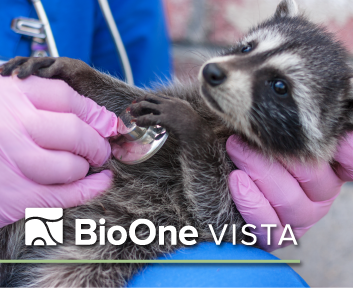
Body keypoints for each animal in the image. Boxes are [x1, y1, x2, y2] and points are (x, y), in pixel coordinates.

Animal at [0, 0, 352, 286]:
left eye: (280, 86)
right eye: (247, 48)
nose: (212, 72)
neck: (223, 120)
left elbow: (217, 218)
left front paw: (191, 127)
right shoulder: (184, 96)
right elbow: (125, 104)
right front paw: (76, 71)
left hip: (98, 253)